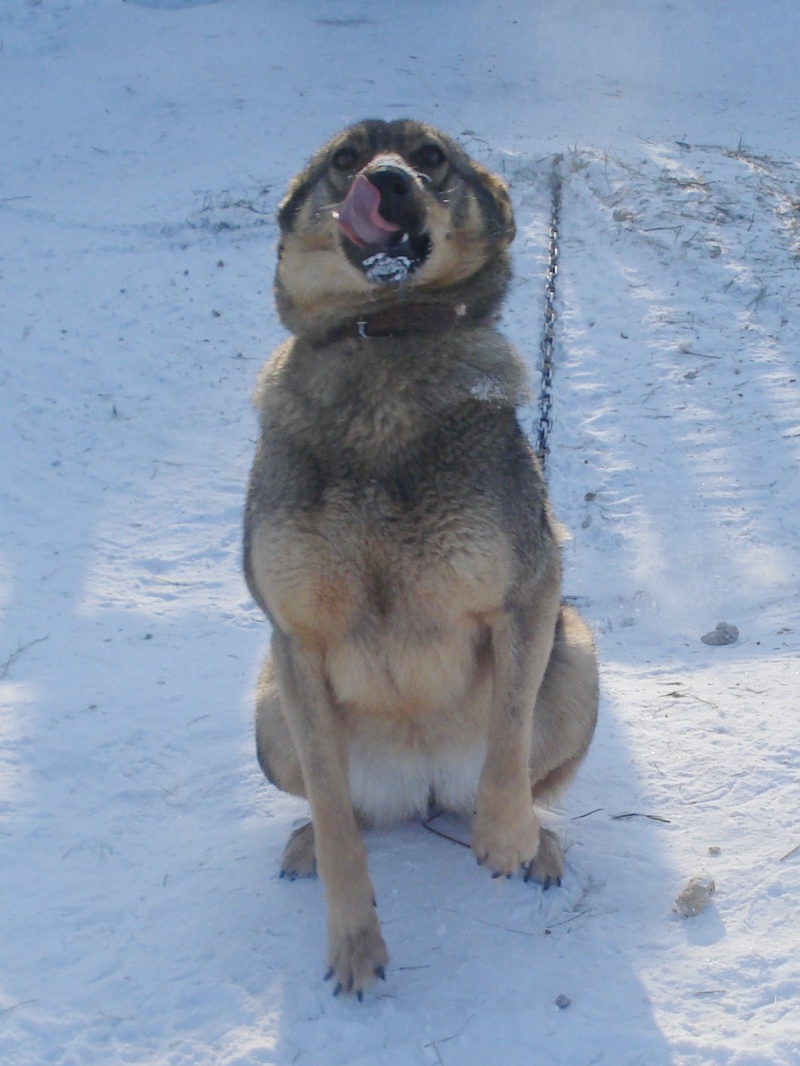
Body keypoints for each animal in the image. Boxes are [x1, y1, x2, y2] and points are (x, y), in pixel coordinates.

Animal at [243, 119, 598, 999]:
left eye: (432, 159)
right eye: (345, 161)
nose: (389, 181)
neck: (384, 335)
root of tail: (424, 790)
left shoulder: (529, 593)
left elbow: (508, 736)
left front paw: (507, 836)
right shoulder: (293, 642)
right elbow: (339, 825)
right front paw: (354, 944)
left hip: (578, 657)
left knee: (519, 775)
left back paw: (532, 841)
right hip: (268, 711)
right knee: (354, 812)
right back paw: (309, 839)